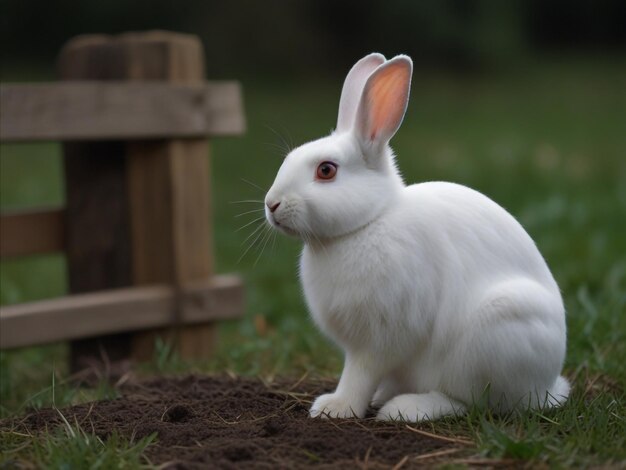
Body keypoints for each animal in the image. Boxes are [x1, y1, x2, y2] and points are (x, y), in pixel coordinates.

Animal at [262, 53, 564, 420]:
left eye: (326, 170)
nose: (271, 204)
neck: (368, 222)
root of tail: (548, 384)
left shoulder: (380, 337)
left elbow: (359, 373)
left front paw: (336, 407)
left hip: (492, 334)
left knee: (472, 402)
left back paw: (404, 408)